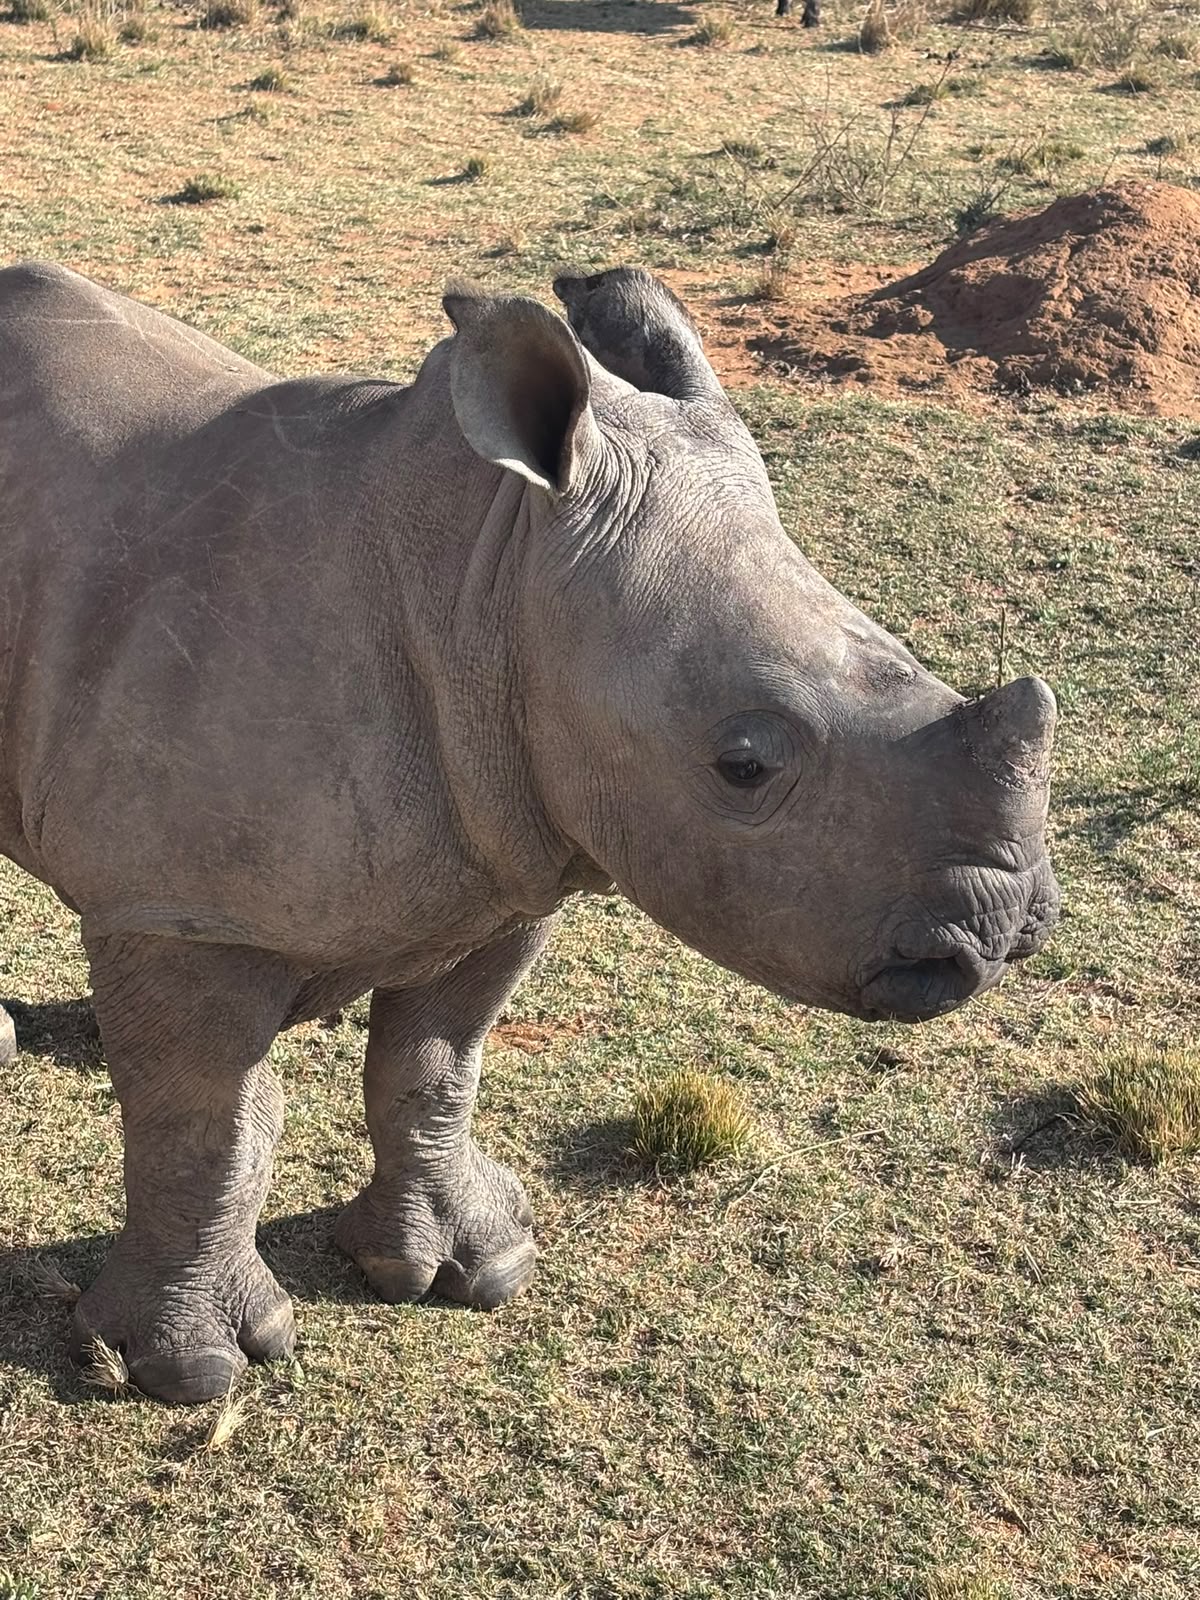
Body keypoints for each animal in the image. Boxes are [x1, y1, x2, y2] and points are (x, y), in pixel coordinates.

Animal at [0, 261, 1059, 1403]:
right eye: (743, 765)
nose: (1003, 927)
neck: (492, 577)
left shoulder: (508, 858)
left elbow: (433, 1070)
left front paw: (469, 1268)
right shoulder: (184, 912)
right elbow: (209, 1125)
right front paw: (190, 1371)